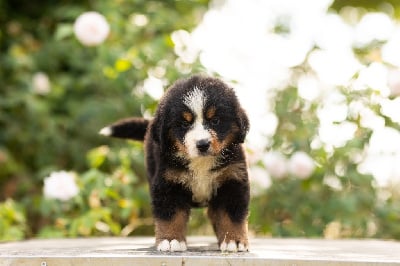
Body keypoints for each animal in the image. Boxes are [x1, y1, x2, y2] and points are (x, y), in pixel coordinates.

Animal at [100, 74, 250, 251]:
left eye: (215, 121)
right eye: (184, 124)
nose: (202, 144)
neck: (201, 163)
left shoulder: (232, 179)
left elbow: (231, 215)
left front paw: (234, 241)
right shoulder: (169, 183)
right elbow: (170, 215)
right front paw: (171, 240)